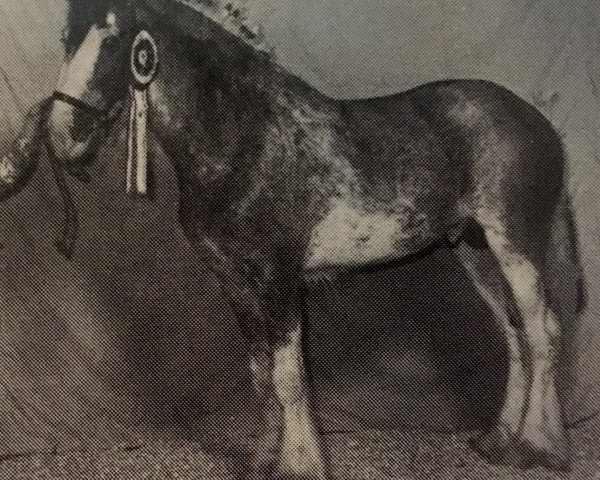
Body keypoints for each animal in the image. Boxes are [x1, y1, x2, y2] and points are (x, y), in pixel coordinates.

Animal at [25, 0, 584, 474]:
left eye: (117, 39)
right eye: (68, 37)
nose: (62, 137)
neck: (244, 139)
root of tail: (542, 123)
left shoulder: (277, 280)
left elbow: (291, 378)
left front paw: (302, 465)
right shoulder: (236, 284)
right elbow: (262, 378)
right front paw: (262, 461)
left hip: (515, 245)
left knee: (543, 331)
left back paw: (539, 448)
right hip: (473, 249)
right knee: (515, 335)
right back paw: (499, 442)